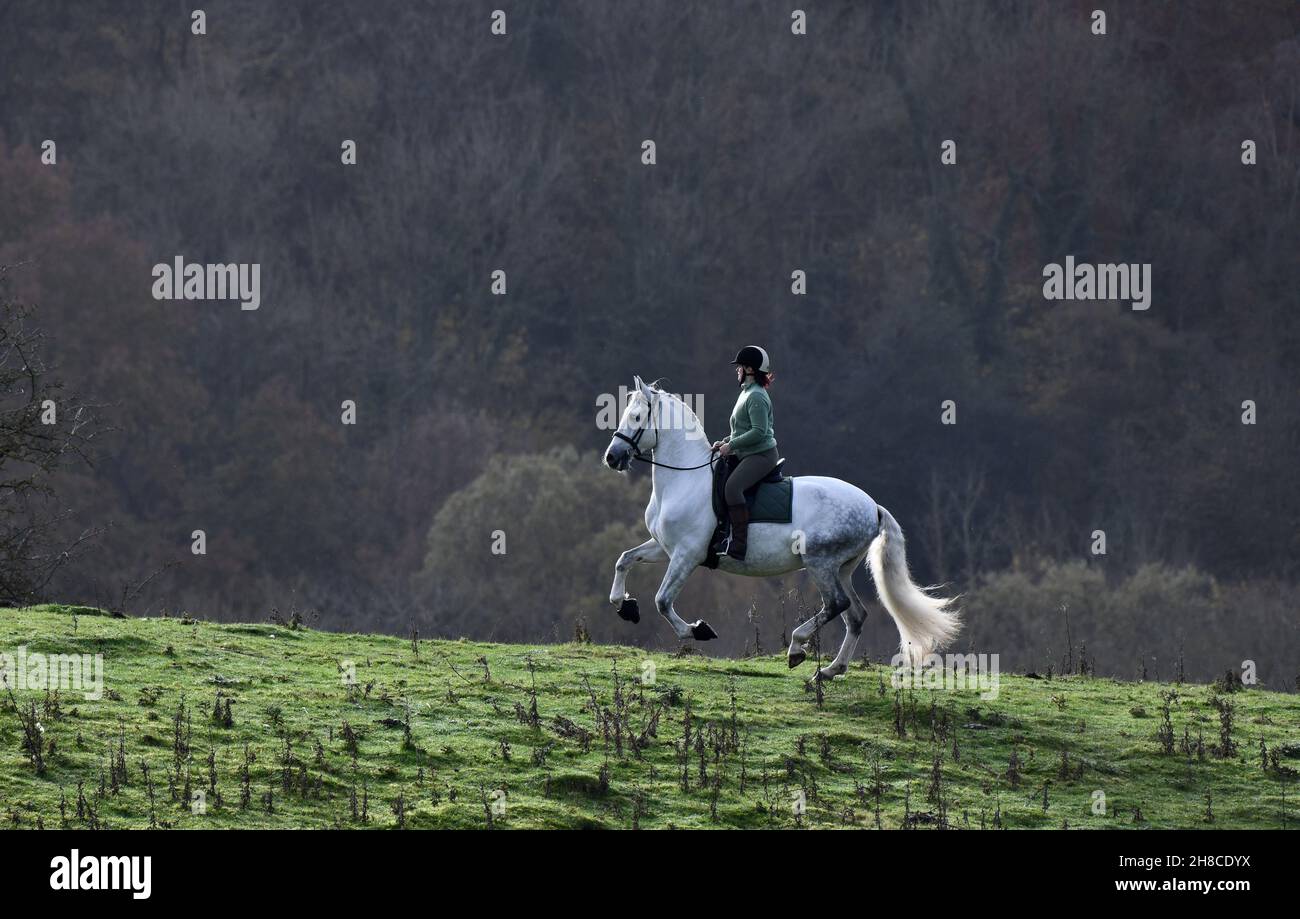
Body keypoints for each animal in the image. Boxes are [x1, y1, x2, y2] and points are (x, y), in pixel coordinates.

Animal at [603, 376, 961, 681]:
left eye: (637, 417)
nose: (612, 457)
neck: (685, 479)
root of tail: (872, 506)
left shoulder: (687, 555)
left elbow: (663, 601)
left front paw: (697, 630)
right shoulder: (664, 547)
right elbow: (623, 559)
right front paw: (625, 606)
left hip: (820, 563)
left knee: (836, 605)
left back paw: (797, 648)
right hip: (842, 568)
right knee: (856, 615)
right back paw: (829, 671)